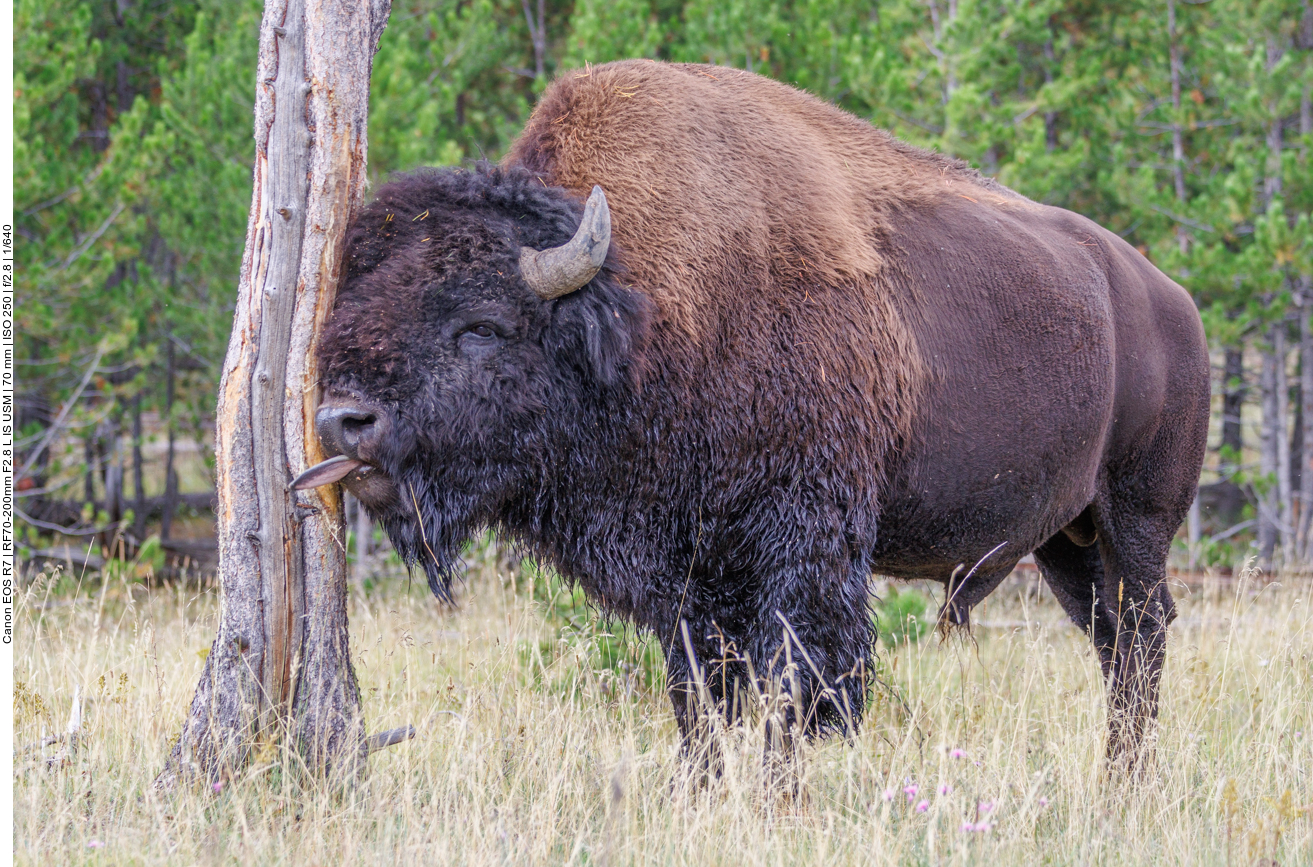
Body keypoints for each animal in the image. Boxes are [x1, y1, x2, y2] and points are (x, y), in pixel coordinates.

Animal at [295, 61, 1207, 767]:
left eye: (481, 325)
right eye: (348, 309)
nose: (343, 421)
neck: (641, 309)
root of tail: (1172, 302)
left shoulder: (800, 550)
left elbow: (793, 688)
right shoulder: (688, 578)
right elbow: (700, 696)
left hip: (1135, 518)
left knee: (1142, 638)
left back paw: (1125, 781)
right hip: (1064, 540)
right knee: (1109, 641)